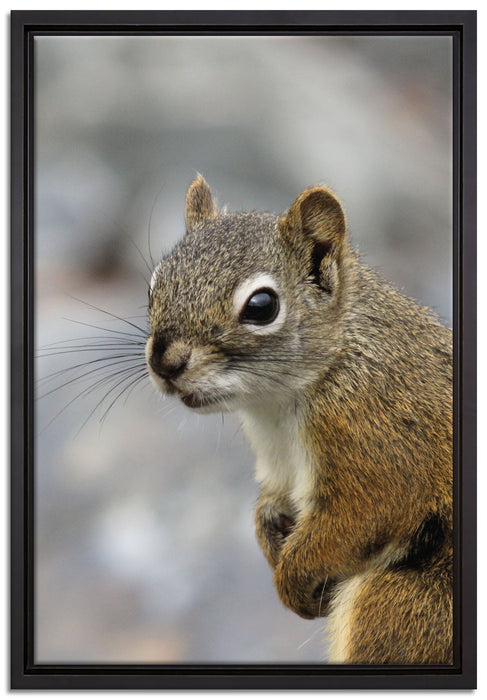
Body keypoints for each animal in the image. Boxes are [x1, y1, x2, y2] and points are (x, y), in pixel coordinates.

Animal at [145, 174, 453, 665]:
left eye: (261, 306)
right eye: (153, 285)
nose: (164, 362)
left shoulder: (377, 436)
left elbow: (362, 516)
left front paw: (292, 579)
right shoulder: (279, 466)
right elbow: (270, 506)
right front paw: (270, 535)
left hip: (402, 609)